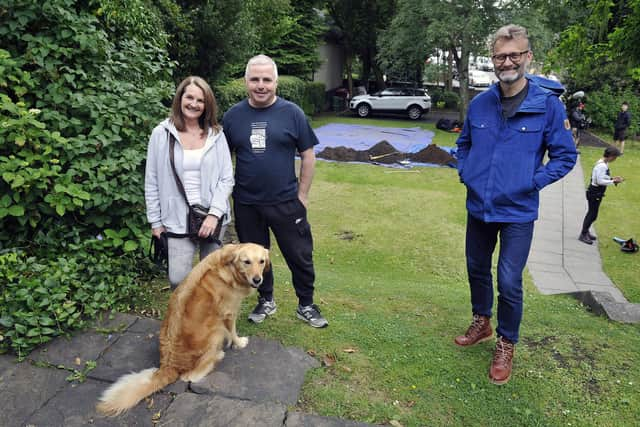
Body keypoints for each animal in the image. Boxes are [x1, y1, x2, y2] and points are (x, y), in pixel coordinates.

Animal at [97, 244, 270, 418]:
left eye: (261, 261)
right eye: (246, 262)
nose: (258, 280)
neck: (227, 268)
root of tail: (169, 366)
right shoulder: (229, 313)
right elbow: (233, 332)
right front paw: (239, 343)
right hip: (216, 332)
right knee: (191, 376)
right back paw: (218, 356)